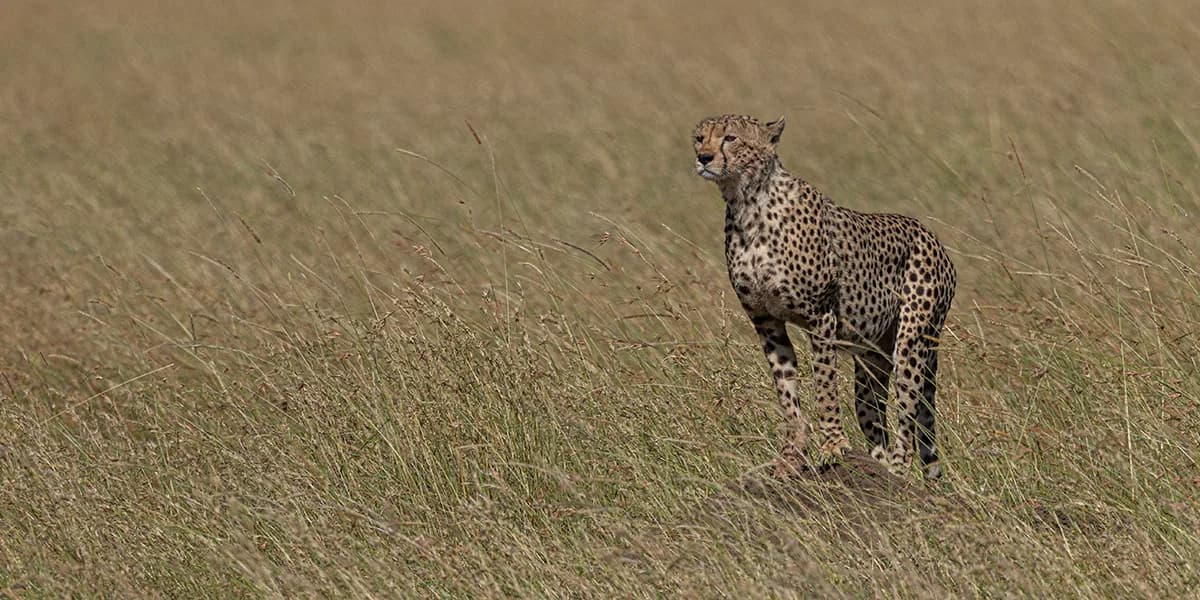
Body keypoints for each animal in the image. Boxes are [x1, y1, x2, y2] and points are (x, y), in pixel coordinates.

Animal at [693, 114, 956, 480]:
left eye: (730, 138)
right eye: (699, 137)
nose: (703, 157)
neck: (747, 202)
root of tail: (932, 236)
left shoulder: (821, 316)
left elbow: (825, 384)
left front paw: (833, 445)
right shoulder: (766, 321)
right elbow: (787, 394)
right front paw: (791, 456)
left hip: (912, 342)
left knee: (908, 414)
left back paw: (898, 469)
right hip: (872, 358)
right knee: (874, 418)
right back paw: (878, 465)